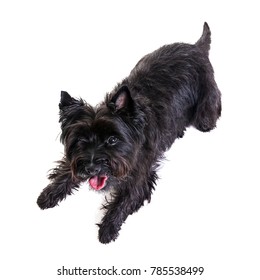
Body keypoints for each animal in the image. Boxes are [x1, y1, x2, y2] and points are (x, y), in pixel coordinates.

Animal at [37, 23, 221, 244]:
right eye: (80, 140)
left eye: (112, 139)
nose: (91, 168)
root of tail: (196, 47)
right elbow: (67, 170)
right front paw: (48, 194)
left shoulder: (140, 173)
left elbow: (124, 200)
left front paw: (107, 228)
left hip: (206, 110)